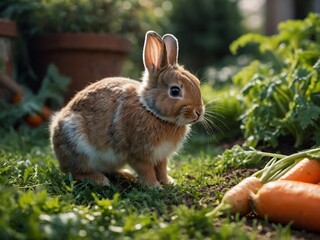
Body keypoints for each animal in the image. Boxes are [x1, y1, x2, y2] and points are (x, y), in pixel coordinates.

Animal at [50, 30, 205, 188]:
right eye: (174, 91)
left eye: (197, 82)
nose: (199, 112)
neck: (151, 111)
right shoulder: (138, 154)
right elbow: (147, 171)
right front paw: (154, 186)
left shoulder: (161, 156)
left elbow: (161, 169)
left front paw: (169, 182)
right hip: (77, 144)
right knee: (76, 172)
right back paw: (100, 180)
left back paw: (126, 174)